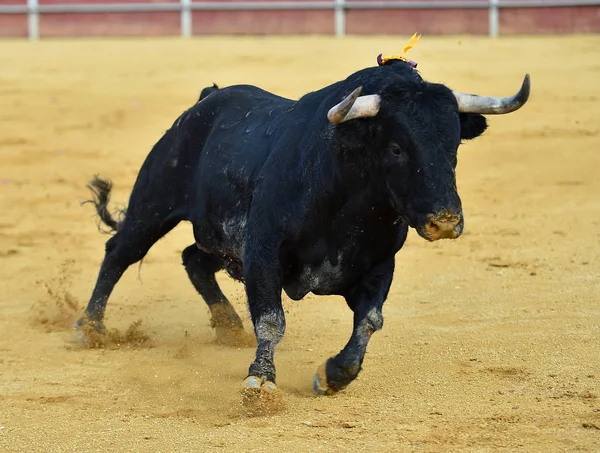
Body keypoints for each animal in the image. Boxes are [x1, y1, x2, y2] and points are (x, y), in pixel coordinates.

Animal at [78, 58, 528, 398]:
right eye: (396, 148)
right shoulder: (262, 251)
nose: (445, 221)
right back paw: (90, 328)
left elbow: (370, 320)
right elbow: (271, 319)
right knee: (120, 252)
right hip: (154, 204)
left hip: (221, 240)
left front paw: (334, 375)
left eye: (454, 147)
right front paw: (260, 380)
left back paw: (228, 326)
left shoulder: (380, 264)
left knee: (194, 260)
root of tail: (206, 99)